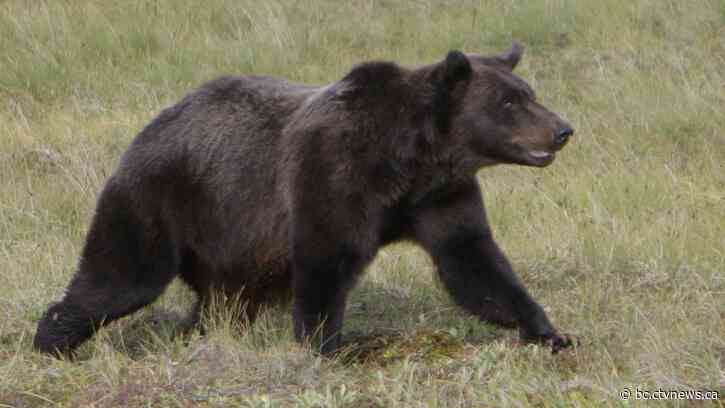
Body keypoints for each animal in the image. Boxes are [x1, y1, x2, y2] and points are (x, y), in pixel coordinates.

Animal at [34, 42, 576, 358]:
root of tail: (152, 124)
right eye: (509, 102)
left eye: (528, 92)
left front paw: (550, 331)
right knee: (121, 275)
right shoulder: (333, 175)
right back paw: (54, 339)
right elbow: (325, 259)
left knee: (222, 300)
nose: (563, 129)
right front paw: (328, 347)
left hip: (232, 242)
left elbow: (475, 263)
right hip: (161, 198)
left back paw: (199, 333)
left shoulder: (440, 197)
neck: (411, 160)